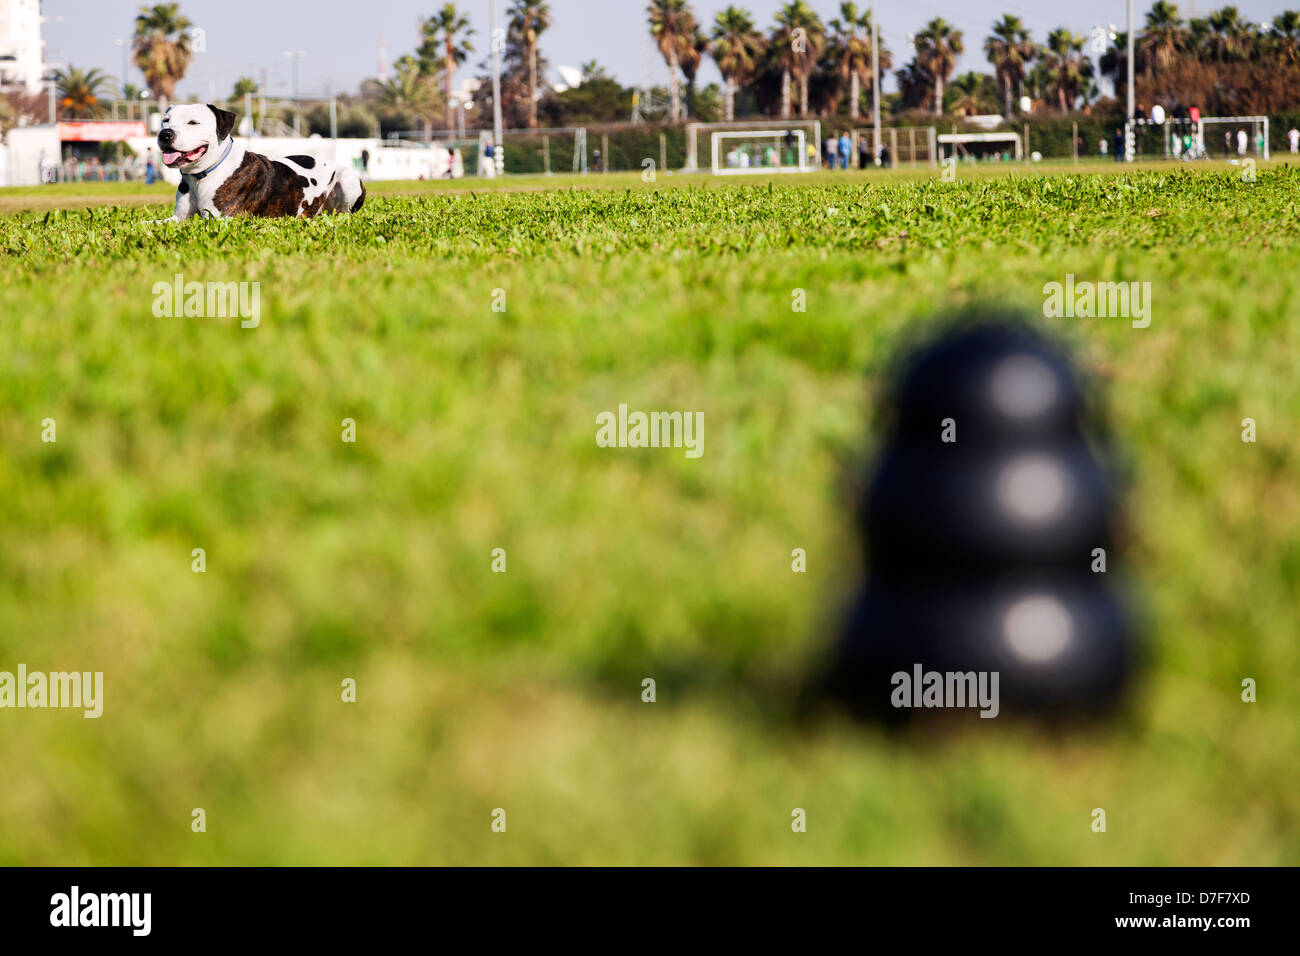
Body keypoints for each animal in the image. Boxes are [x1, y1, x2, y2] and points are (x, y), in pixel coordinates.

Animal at [154, 102, 366, 221]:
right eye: (166, 120)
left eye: (193, 122)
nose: (165, 134)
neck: (202, 175)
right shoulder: (177, 218)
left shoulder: (220, 219)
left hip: (347, 182)